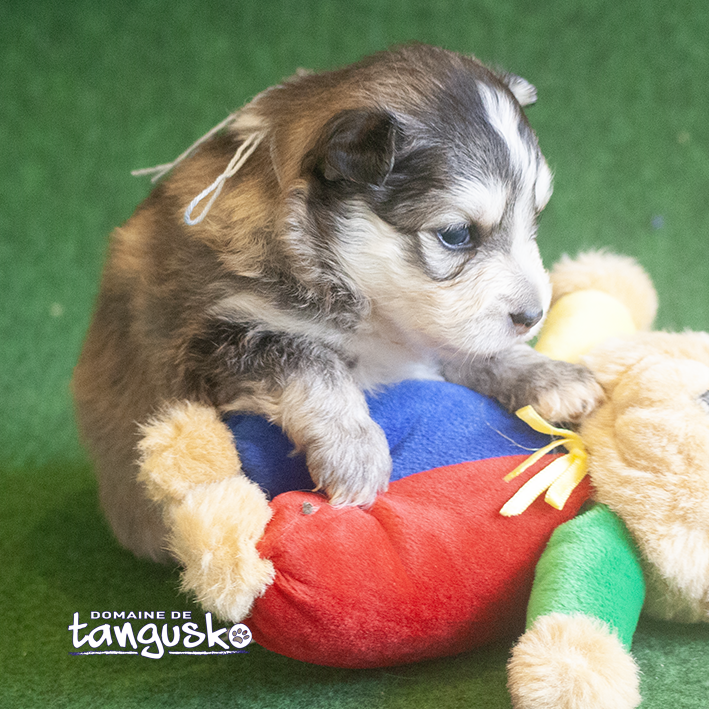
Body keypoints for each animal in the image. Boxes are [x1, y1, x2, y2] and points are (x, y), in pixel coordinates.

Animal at [74, 47, 600, 560]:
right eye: (456, 235)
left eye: (534, 220)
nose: (533, 316)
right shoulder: (210, 342)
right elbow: (311, 360)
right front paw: (356, 449)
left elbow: (472, 349)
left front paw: (550, 375)